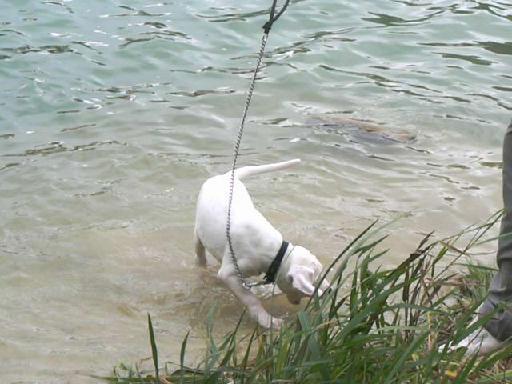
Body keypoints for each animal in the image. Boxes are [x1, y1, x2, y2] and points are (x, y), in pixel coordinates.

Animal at [194, 158, 330, 328]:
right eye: (316, 279)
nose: (330, 289)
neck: (276, 254)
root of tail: (226, 176)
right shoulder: (228, 274)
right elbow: (251, 299)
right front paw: (267, 321)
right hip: (198, 234)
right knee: (200, 254)